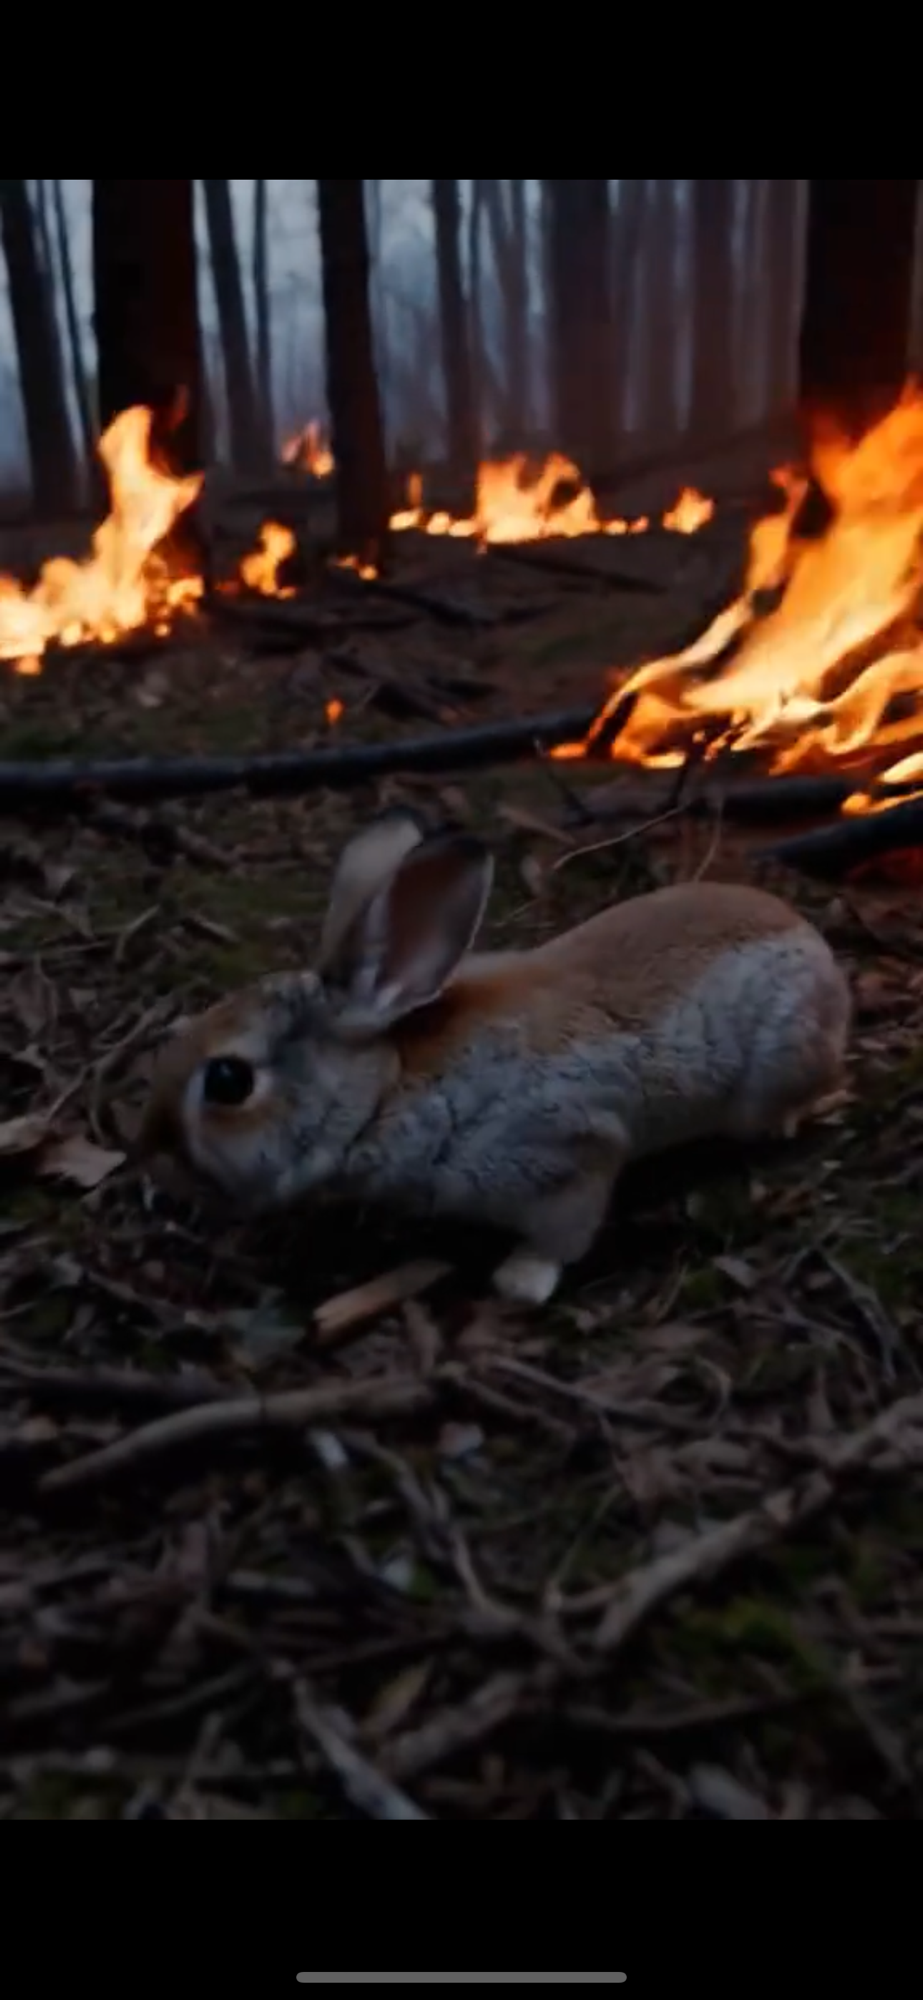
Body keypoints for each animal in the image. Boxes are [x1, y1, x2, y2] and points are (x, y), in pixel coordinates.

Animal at [140, 807, 851, 1307]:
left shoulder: (568, 1150)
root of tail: (817, 948)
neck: (385, 1090)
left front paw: (518, 1282)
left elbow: (565, 1229)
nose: (152, 1152)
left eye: (228, 1080)